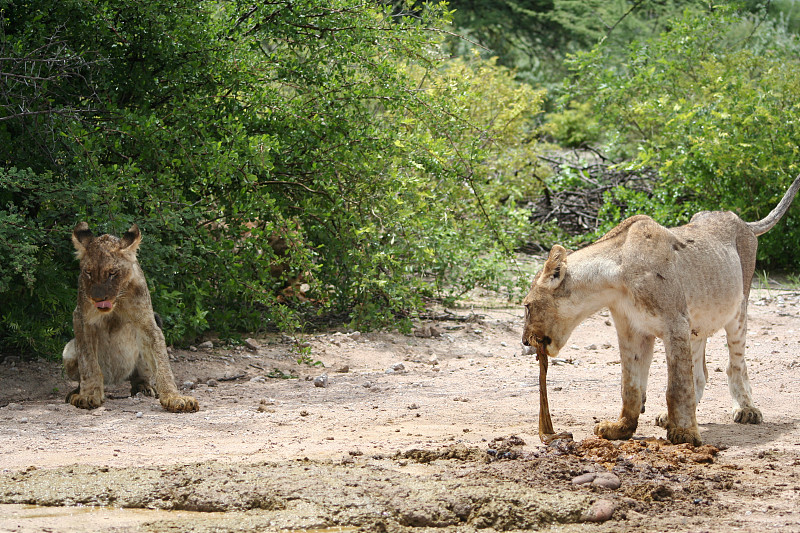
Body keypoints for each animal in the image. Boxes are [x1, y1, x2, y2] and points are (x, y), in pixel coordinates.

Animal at [62, 220, 198, 412]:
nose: (98, 298)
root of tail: (115, 380)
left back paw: (143, 388)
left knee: (140, 376)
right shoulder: (81, 318)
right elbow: (88, 362)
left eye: (112, 273)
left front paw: (174, 397)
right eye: (88, 272)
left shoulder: (148, 322)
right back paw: (76, 391)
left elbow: (162, 363)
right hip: (68, 351)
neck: (117, 302)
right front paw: (88, 395)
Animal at [520, 176, 800, 444]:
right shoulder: (632, 331)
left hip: (738, 308)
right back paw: (669, 417)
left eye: (526, 306)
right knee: (700, 372)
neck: (614, 279)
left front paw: (685, 434)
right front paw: (621, 428)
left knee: (736, 363)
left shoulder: (675, 323)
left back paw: (746, 409)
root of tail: (741, 221)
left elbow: (677, 385)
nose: (524, 341)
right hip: (697, 323)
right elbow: (631, 385)